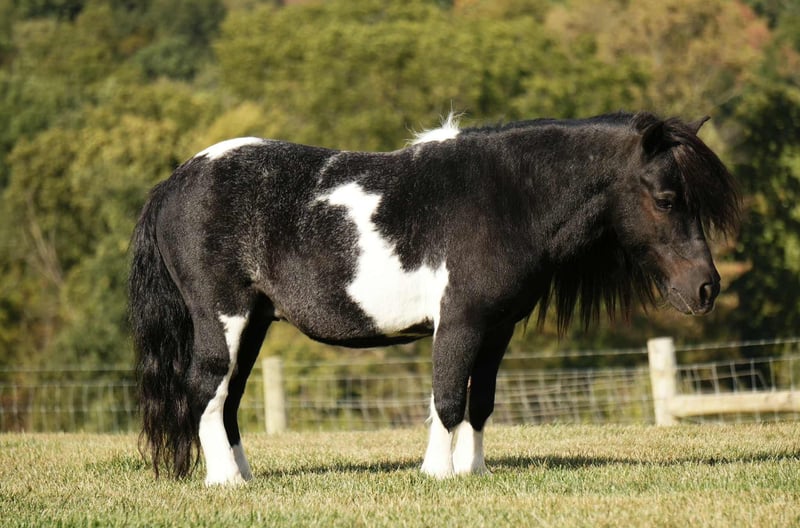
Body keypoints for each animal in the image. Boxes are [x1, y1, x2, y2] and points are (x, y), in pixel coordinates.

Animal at [128, 111, 739, 485]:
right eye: (666, 197)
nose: (706, 287)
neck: (507, 198)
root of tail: (176, 181)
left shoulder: (497, 329)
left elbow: (480, 402)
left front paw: (474, 472)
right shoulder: (460, 322)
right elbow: (446, 398)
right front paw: (436, 474)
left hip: (254, 323)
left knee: (228, 399)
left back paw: (245, 476)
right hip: (223, 318)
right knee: (206, 390)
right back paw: (224, 482)